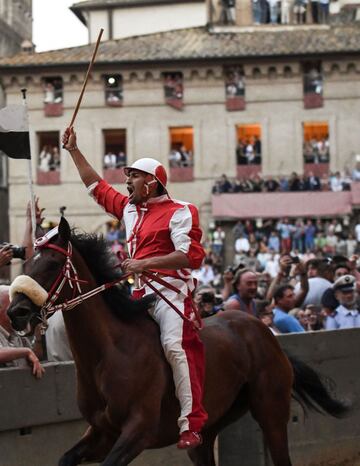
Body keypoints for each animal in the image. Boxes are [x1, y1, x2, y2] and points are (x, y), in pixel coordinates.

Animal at [7, 218, 348, 466]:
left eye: (52, 262)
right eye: (28, 263)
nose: (15, 312)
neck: (110, 354)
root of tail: (262, 331)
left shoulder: (138, 431)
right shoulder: (102, 432)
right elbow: (65, 458)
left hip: (272, 412)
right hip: (208, 430)